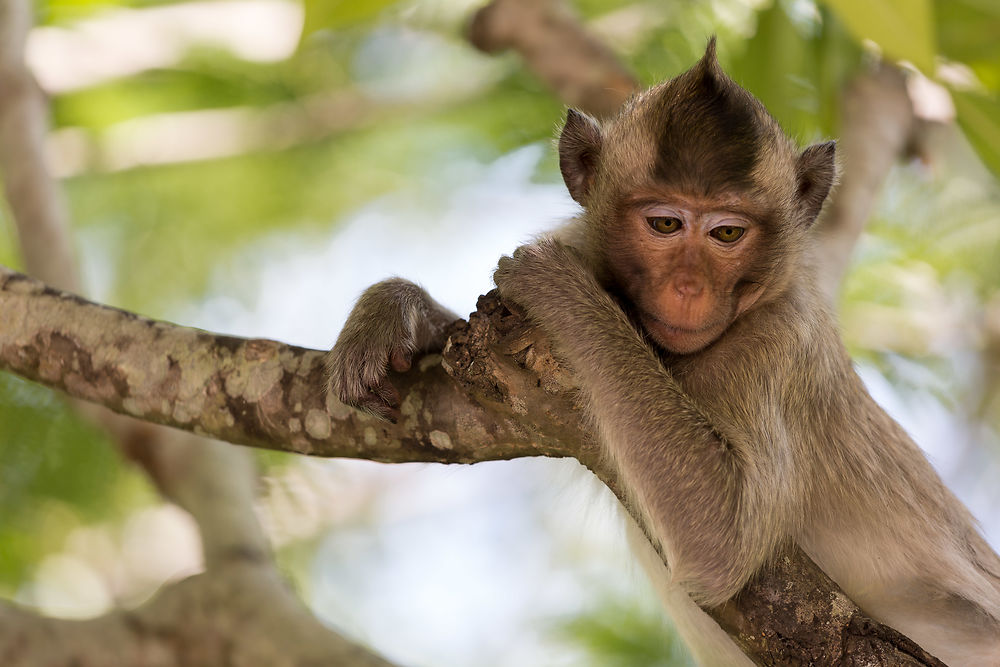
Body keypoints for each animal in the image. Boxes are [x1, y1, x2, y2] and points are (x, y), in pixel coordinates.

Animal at [328, 39, 1000, 664]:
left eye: (727, 232)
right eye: (665, 225)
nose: (688, 287)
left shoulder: (780, 344)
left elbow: (723, 539)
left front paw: (563, 292)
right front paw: (392, 315)